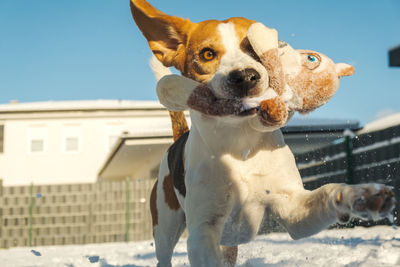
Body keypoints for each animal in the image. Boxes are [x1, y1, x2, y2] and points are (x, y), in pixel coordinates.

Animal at [130, 1, 396, 266]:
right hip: (165, 229)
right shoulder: (202, 231)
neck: (239, 144)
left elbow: (328, 191)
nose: (245, 77)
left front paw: (360, 195)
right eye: (207, 54)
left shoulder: (292, 208)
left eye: (252, 48)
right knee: (164, 254)